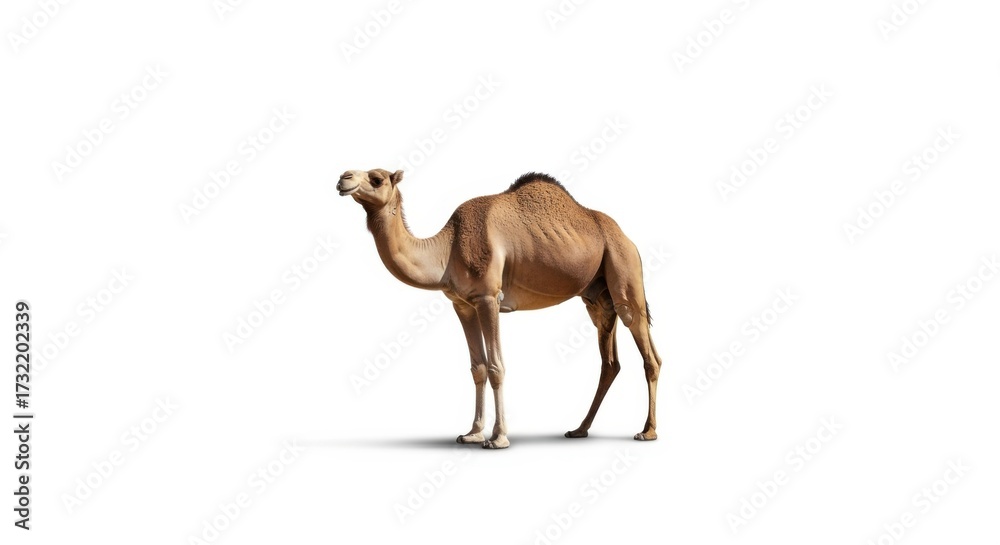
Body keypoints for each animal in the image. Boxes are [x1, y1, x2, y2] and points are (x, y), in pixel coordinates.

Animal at [337, 169, 662, 449]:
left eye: (377, 179)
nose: (343, 178)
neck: (448, 248)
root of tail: (627, 238)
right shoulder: (463, 304)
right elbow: (478, 368)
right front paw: (472, 433)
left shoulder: (488, 297)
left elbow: (496, 367)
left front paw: (498, 437)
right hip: (597, 297)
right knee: (610, 362)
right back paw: (580, 429)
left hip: (624, 272)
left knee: (649, 354)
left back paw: (647, 431)